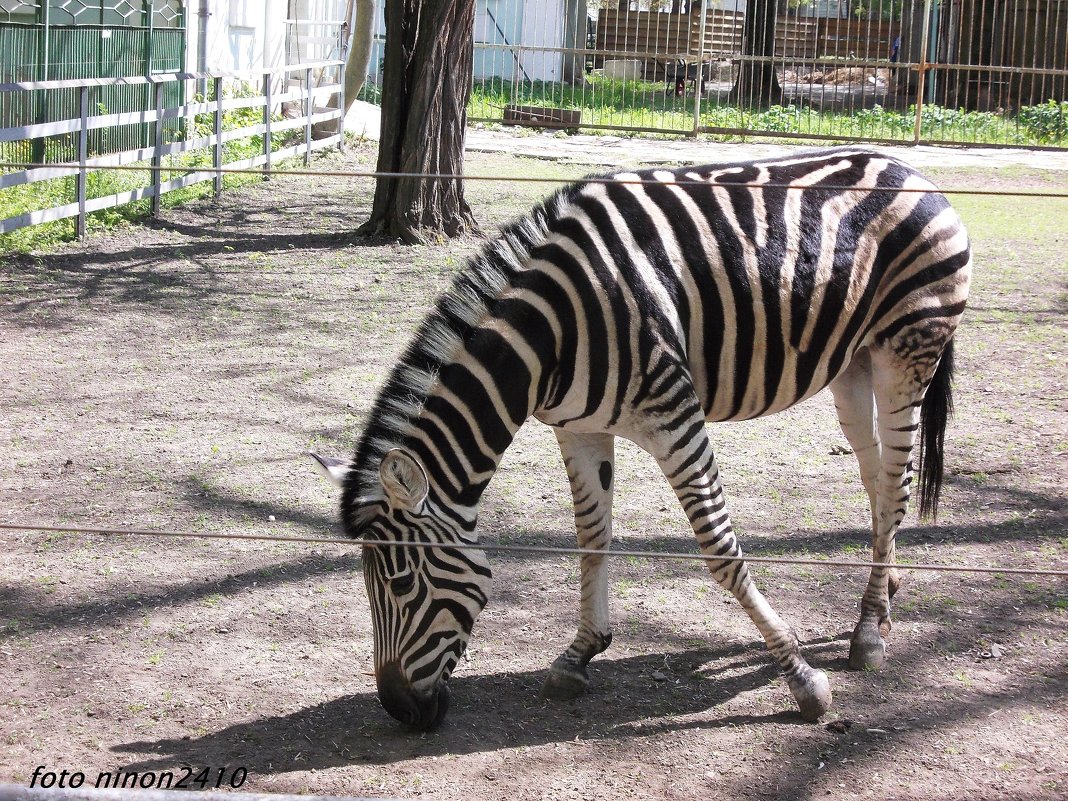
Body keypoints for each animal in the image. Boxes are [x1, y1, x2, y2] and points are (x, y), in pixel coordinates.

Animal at [309, 147, 969, 730]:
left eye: (400, 583)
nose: (400, 711)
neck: (550, 335)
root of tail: (909, 167)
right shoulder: (577, 428)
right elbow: (591, 539)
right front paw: (579, 654)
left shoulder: (674, 415)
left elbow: (719, 550)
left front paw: (802, 677)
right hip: (852, 365)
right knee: (877, 480)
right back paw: (885, 594)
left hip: (907, 351)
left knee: (897, 481)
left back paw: (869, 632)